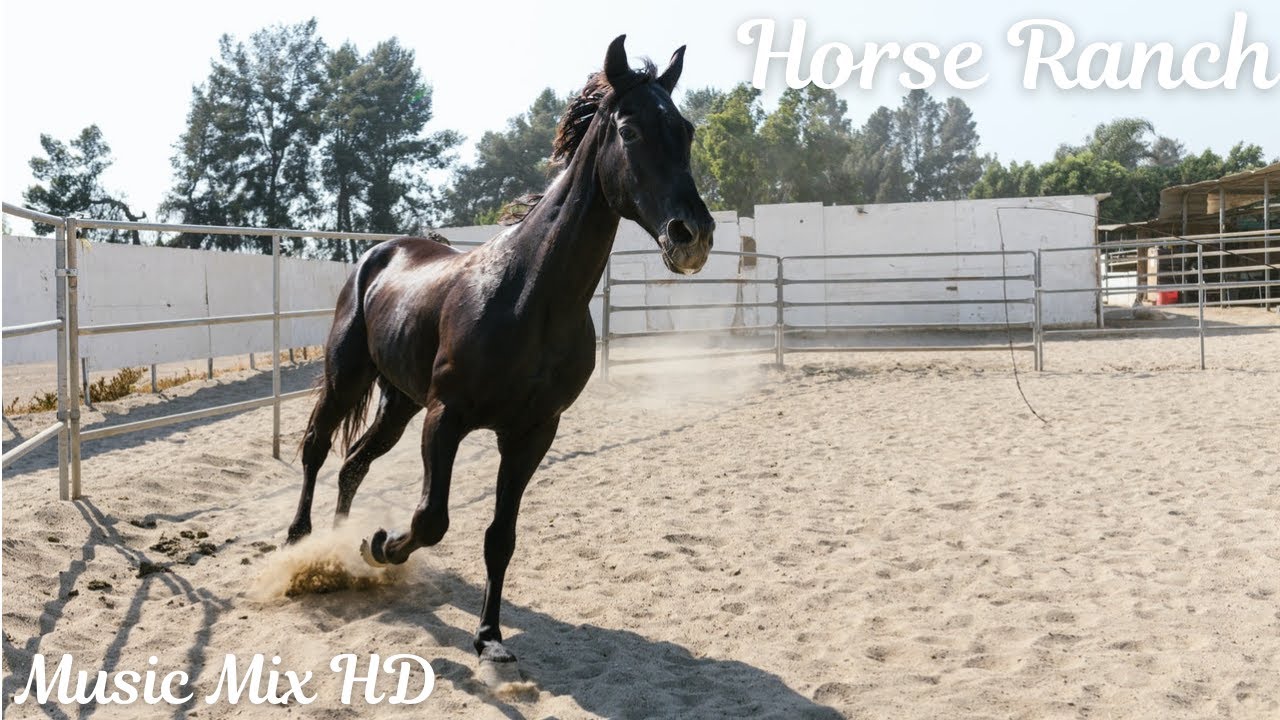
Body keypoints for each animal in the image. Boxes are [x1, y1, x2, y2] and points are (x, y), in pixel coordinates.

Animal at [285, 35, 714, 673]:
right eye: (630, 129)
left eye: (684, 129)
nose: (693, 235)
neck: (528, 297)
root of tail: (379, 253)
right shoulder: (446, 418)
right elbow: (431, 518)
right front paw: (383, 545)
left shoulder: (532, 432)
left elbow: (500, 536)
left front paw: (489, 637)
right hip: (348, 377)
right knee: (317, 448)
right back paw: (302, 541)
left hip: (399, 403)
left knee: (354, 463)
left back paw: (340, 552)